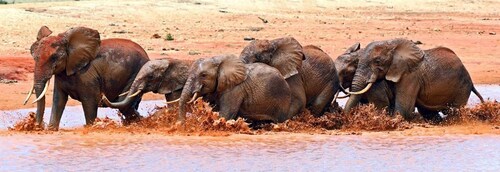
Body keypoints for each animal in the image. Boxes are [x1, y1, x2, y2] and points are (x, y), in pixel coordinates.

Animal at [344, 38, 484, 120]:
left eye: (377, 61)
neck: (392, 44)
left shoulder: (410, 76)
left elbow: (404, 110)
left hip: (462, 87)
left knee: (454, 112)